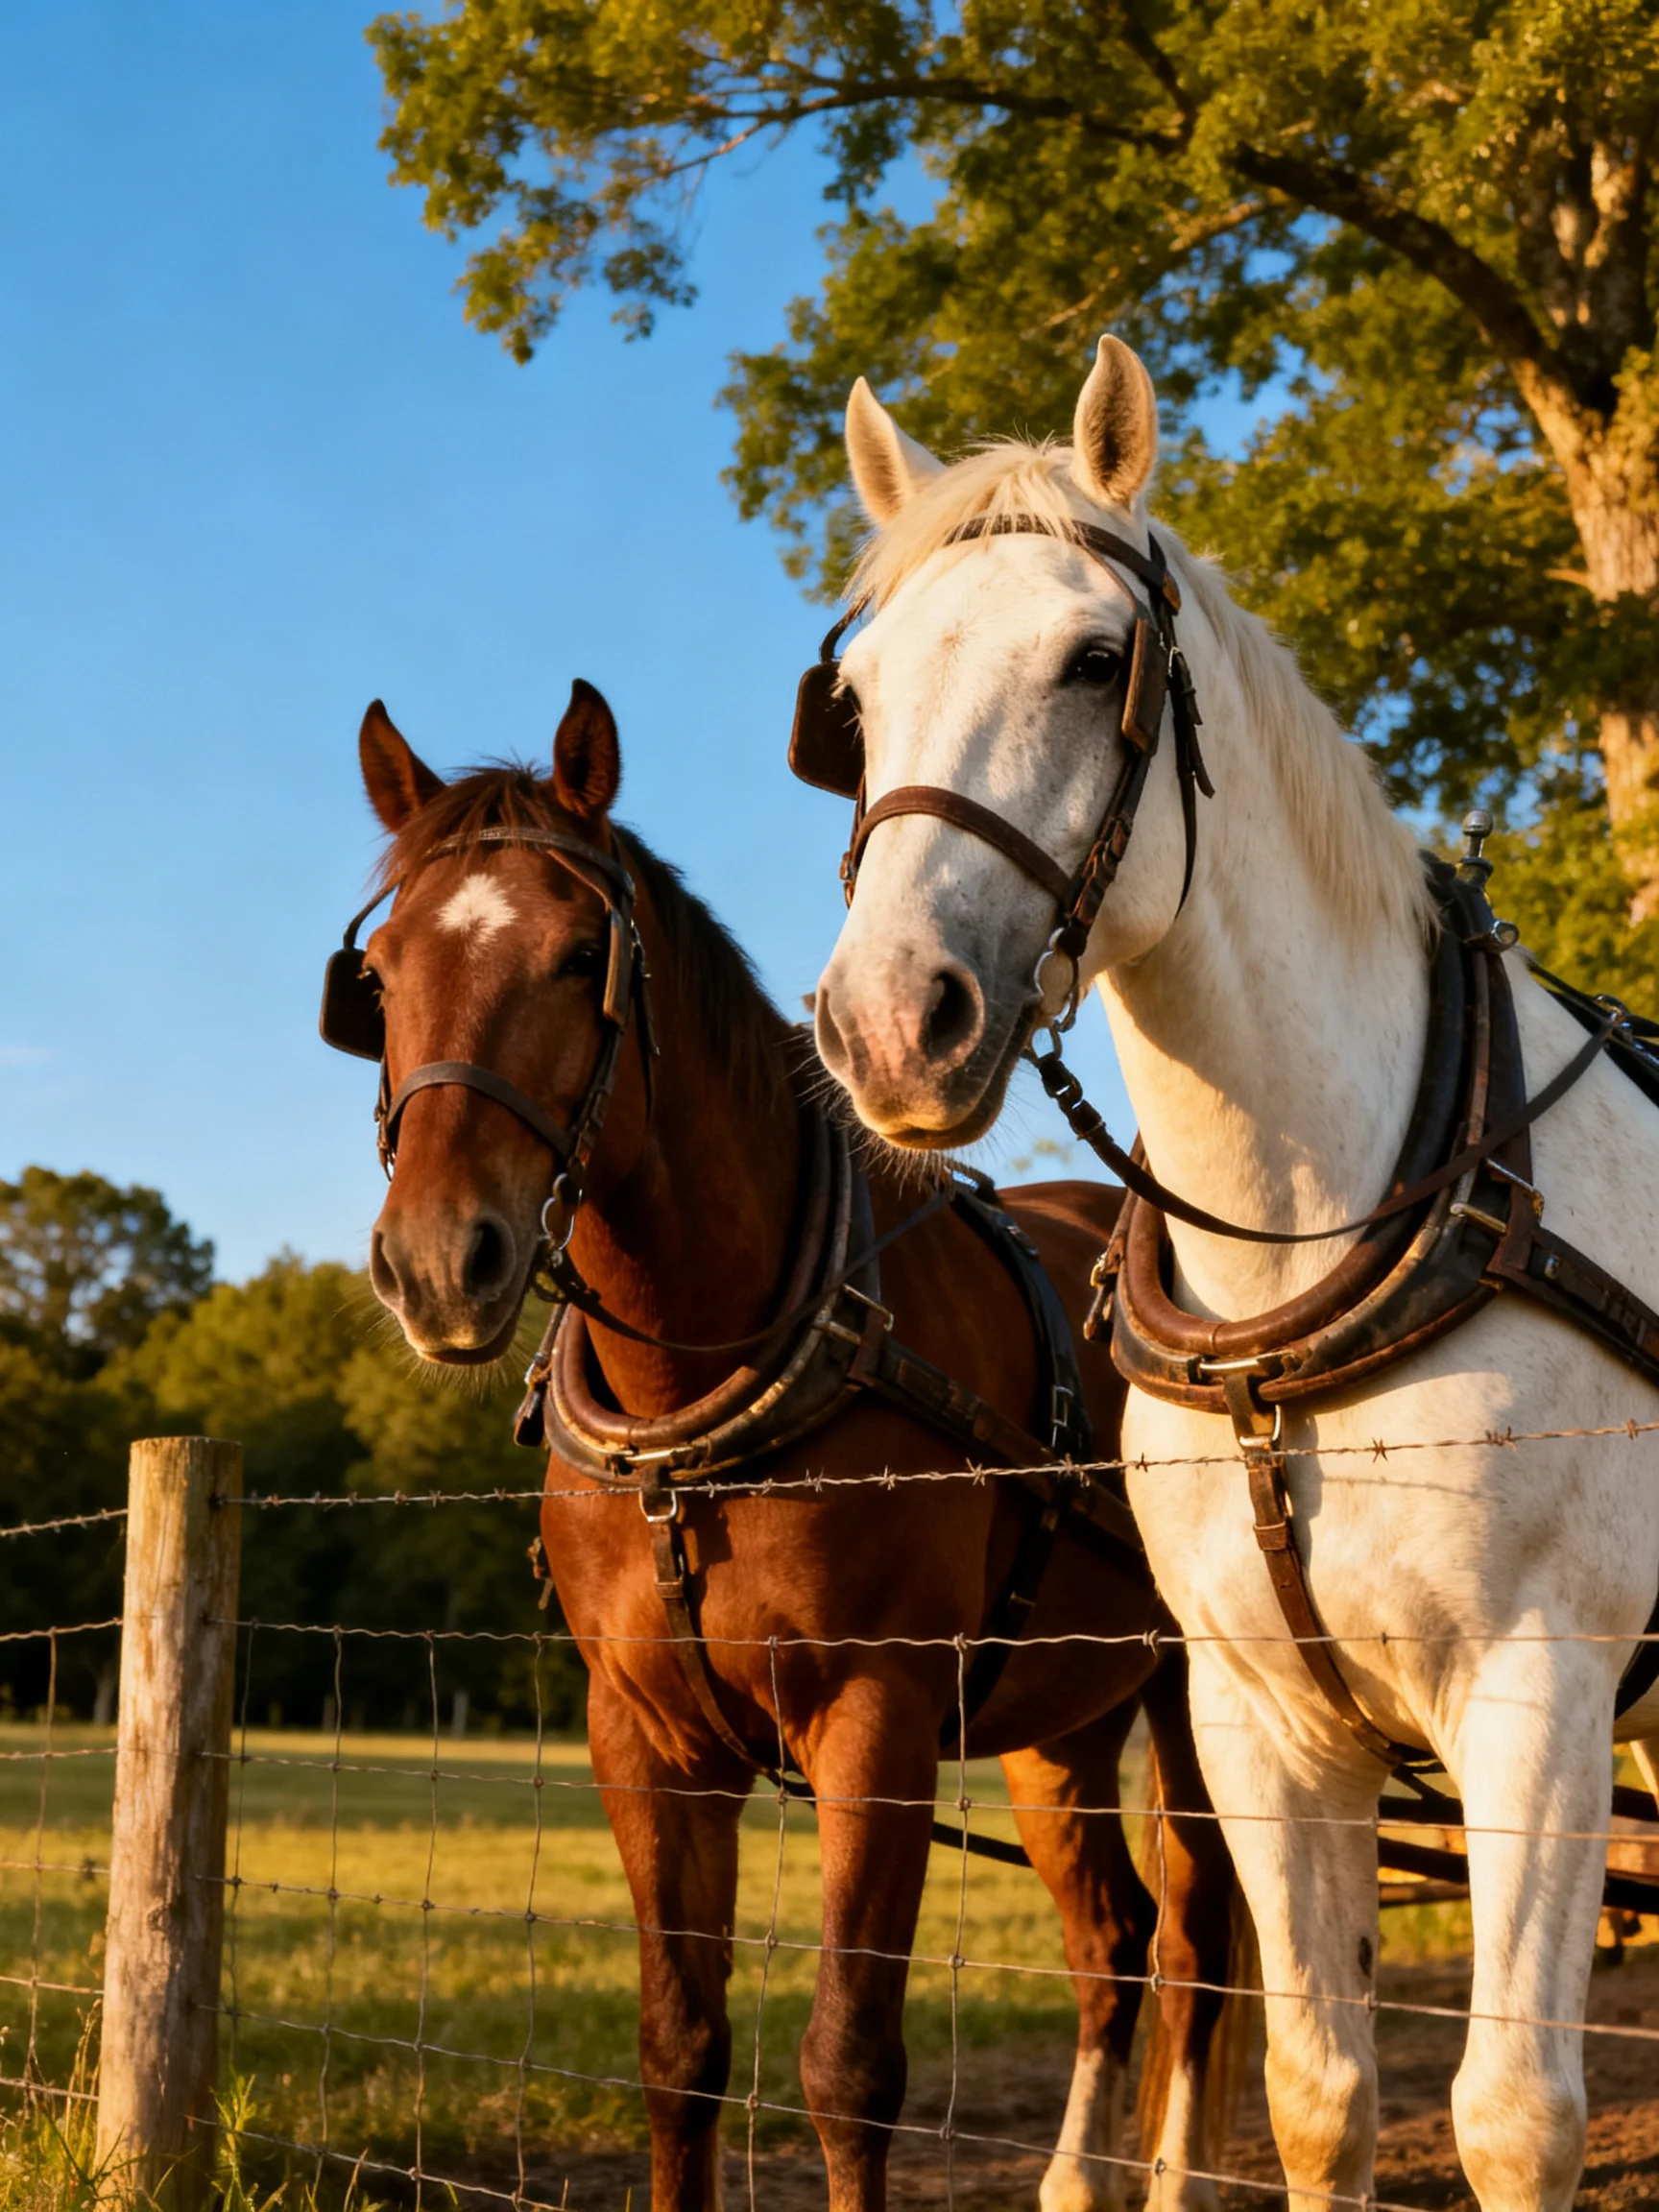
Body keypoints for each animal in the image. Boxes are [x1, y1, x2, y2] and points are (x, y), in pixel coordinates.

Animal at [331, 681, 1244, 2212]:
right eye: (384, 978)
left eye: (582, 957)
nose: (438, 1264)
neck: (702, 1392)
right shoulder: (643, 1737)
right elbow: (681, 2050)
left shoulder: (875, 1722)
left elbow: (845, 2067)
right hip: (1062, 1720)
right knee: (1111, 1936)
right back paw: (1078, 2176)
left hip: (1198, 1691)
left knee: (1198, 1939)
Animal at [805, 334, 1659, 2212]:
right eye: (859, 700)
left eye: (1093, 659)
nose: (892, 1021)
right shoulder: (1263, 1718)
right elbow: (1318, 2089)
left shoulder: (1542, 1692)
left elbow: (1511, 2114)